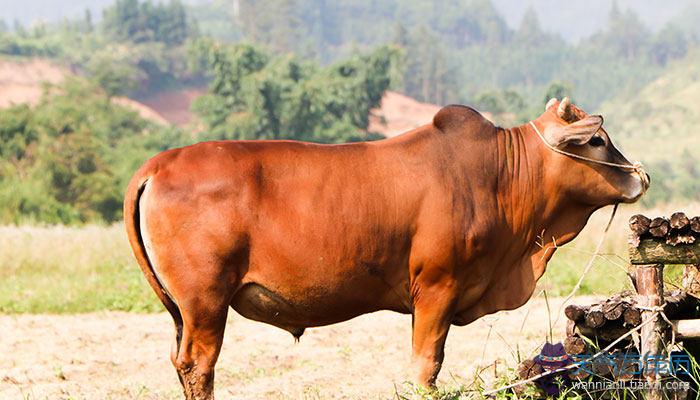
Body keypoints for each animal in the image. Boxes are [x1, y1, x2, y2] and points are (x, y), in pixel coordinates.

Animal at [124, 97, 644, 400]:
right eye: (597, 140)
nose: (641, 176)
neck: (501, 175)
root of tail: (158, 164)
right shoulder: (438, 287)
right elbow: (426, 365)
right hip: (205, 302)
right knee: (199, 365)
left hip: (182, 311)